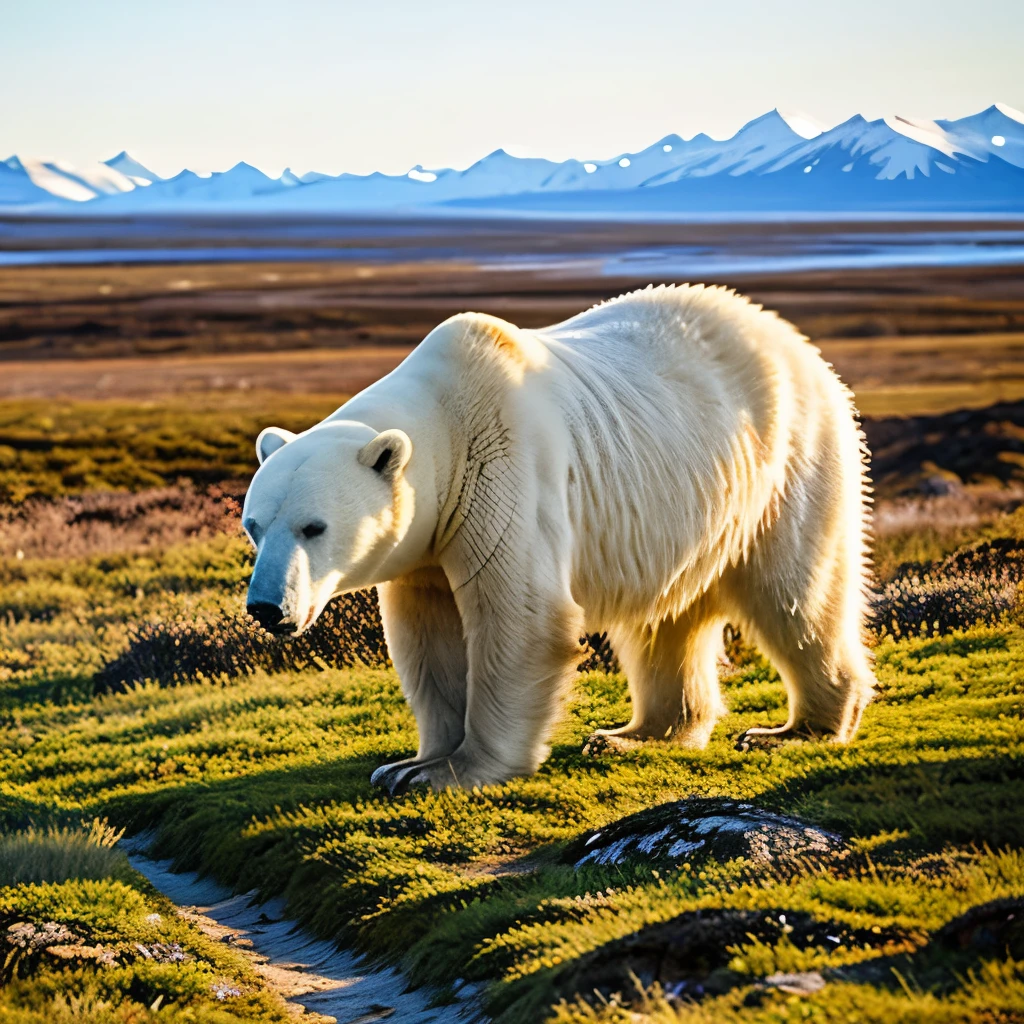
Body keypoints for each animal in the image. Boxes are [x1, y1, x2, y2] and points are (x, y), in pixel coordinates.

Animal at [239, 286, 872, 790]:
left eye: (313, 526)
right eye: (254, 526)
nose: (267, 608)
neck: (446, 423)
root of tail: (786, 334)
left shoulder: (502, 473)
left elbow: (518, 618)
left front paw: (451, 772)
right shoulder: (425, 542)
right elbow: (428, 633)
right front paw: (409, 764)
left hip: (789, 461)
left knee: (795, 596)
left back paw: (795, 730)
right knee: (665, 618)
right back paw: (634, 734)